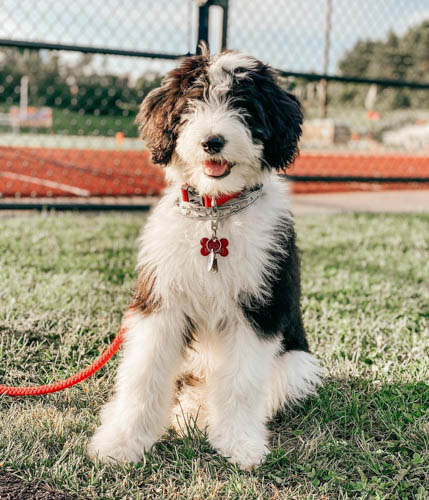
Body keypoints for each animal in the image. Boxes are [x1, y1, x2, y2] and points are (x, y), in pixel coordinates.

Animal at [88, 46, 320, 468]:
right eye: (192, 102)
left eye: (244, 106)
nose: (213, 141)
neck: (215, 211)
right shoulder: (160, 300)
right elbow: (144, 371)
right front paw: (121, 441)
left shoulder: (259, 306)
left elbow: (242, 381)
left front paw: (239, 443)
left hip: (296, 365)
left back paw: (196, 414)